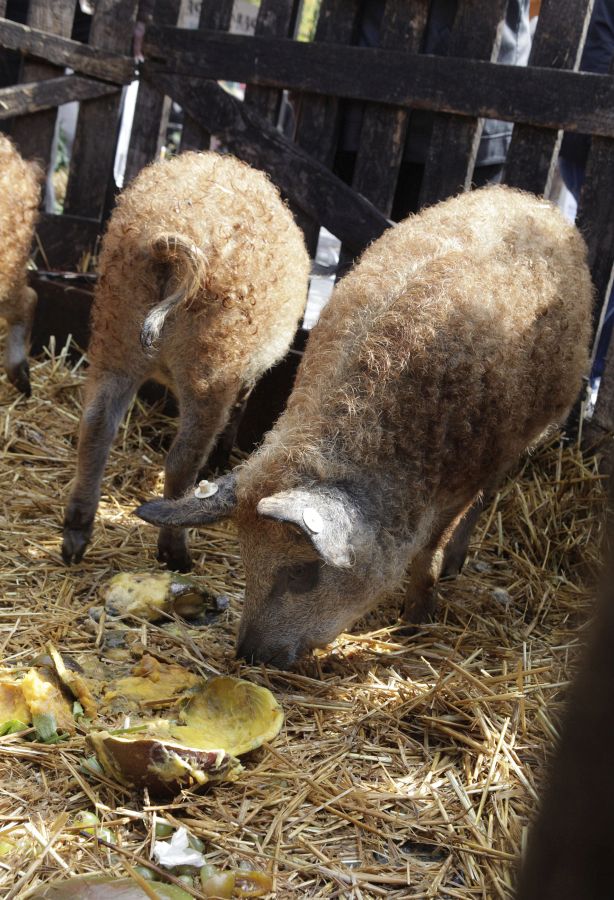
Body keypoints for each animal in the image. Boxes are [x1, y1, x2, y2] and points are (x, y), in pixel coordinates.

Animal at [62, 151, 309, 570]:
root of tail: (168, 242)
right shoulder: (240, 377)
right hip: (212, 363)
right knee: (182, 458)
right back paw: (175, 555)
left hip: (114, 334)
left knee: (95, 425)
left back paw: (74, 539)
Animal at [136, 186, 592, 668]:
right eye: (244, 557)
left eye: (303, 571)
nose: (248, 654)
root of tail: (530, 200)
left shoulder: (465, 476)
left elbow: (431, 548)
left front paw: (415, 624)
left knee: (488, 496)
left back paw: (454, 568)